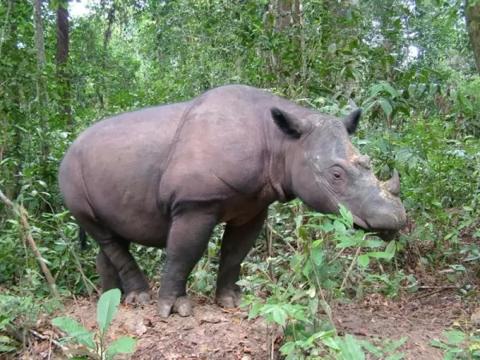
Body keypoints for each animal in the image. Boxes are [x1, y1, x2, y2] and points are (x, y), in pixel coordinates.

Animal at [58, 84, 406, 318]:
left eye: (368, 164)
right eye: (335, 175)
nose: (395, 219)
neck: (282, 141)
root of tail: (71, 144)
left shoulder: (254, 205)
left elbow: (236, 252)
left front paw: (231, 302)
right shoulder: (194, 202)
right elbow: (184, 253)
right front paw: (174, 310)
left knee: (112, 235)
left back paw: (114, 299)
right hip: (69, 174)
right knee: (101, 231)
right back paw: (139, 299)